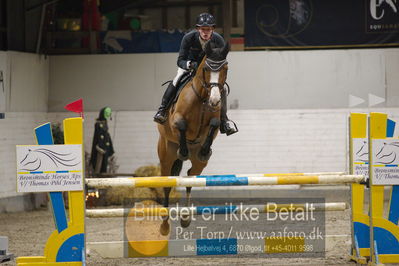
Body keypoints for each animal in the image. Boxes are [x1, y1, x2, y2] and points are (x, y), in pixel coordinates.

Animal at [157, 41, 230, 235]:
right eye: (206, 68)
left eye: (225, 68)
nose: (215, 100)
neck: (203, 97)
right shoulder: (176, 120)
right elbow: (181, 125)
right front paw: (183, 151)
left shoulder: (214, 121)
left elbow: (214, 124)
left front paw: (205, 150)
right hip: (166, 156)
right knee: (166, 184)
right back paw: (164, 225)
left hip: (199, 165)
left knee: (190, 177)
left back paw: (185, 218)